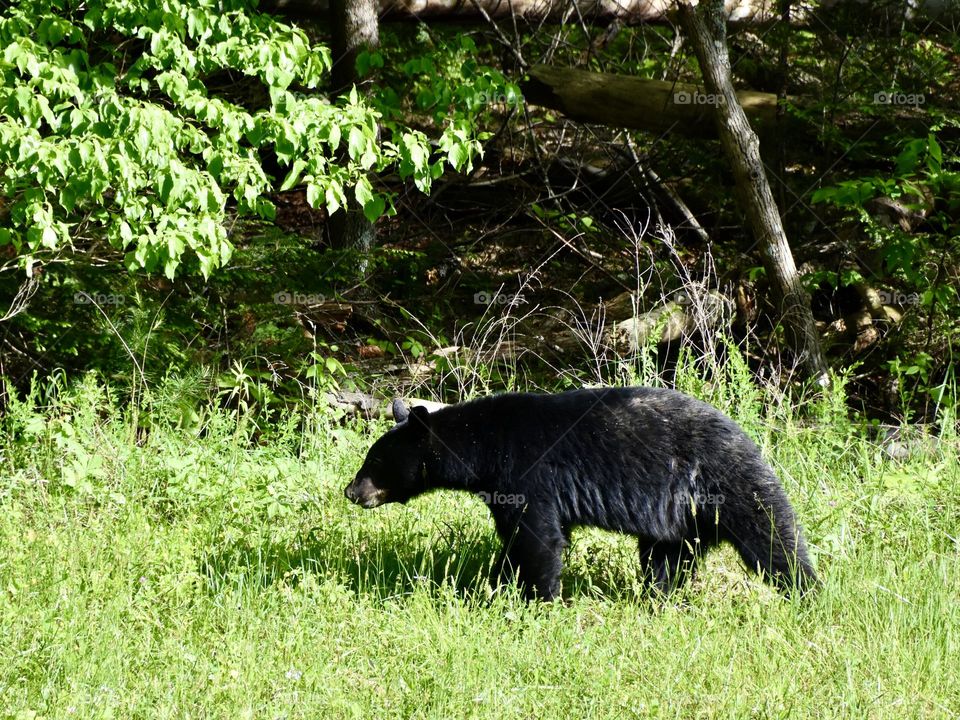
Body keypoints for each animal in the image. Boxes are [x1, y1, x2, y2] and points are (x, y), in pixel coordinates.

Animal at [344, 388, 816, 600]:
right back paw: (658, 599)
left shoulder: (527, 473)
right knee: (666, 558)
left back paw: (807, 593)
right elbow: (519, 539)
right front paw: (496, 584)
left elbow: (538, 539)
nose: (350, 491)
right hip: (680, 517)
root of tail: (749, 438)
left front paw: (540, 598)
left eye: (374, 460)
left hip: (728, 483)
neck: (486, 445)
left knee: (773, 537)